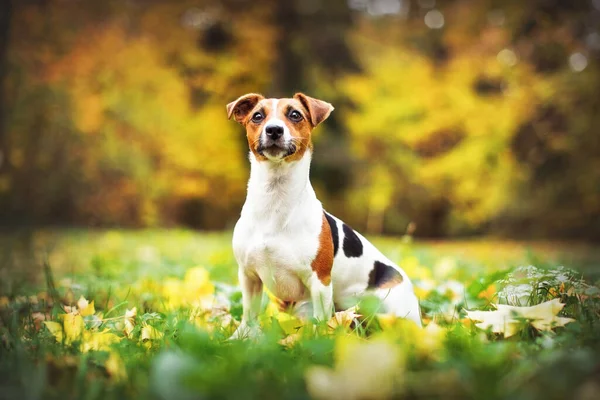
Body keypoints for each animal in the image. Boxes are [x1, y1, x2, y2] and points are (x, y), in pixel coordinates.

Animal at [226, 91, 422, 338]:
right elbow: (249, 314)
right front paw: (240, 337)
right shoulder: (249, 276)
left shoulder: (319, 281)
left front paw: (316, 341)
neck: (275, 200)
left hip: (394, 309)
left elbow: (320, 320)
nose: (274, 130)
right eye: (257, 116)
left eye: (295, 114)